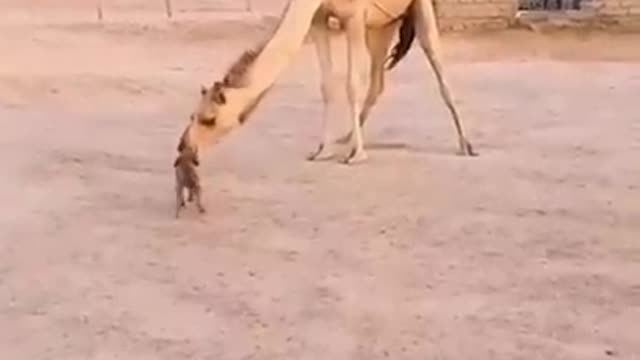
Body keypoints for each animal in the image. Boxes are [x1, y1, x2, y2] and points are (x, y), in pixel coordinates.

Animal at [178, 0, 478, 165]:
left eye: (209, 120)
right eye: (192, 115)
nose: (184, 148)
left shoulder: (354, 16)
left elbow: (351, 83)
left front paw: (356, 155)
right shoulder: (320, 18)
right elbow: (327, 84)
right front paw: (322, 150)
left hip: (414, 8)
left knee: (437, 63)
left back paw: (466, 145)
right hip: (383, 22)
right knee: (378, 81)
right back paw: (345, 137)